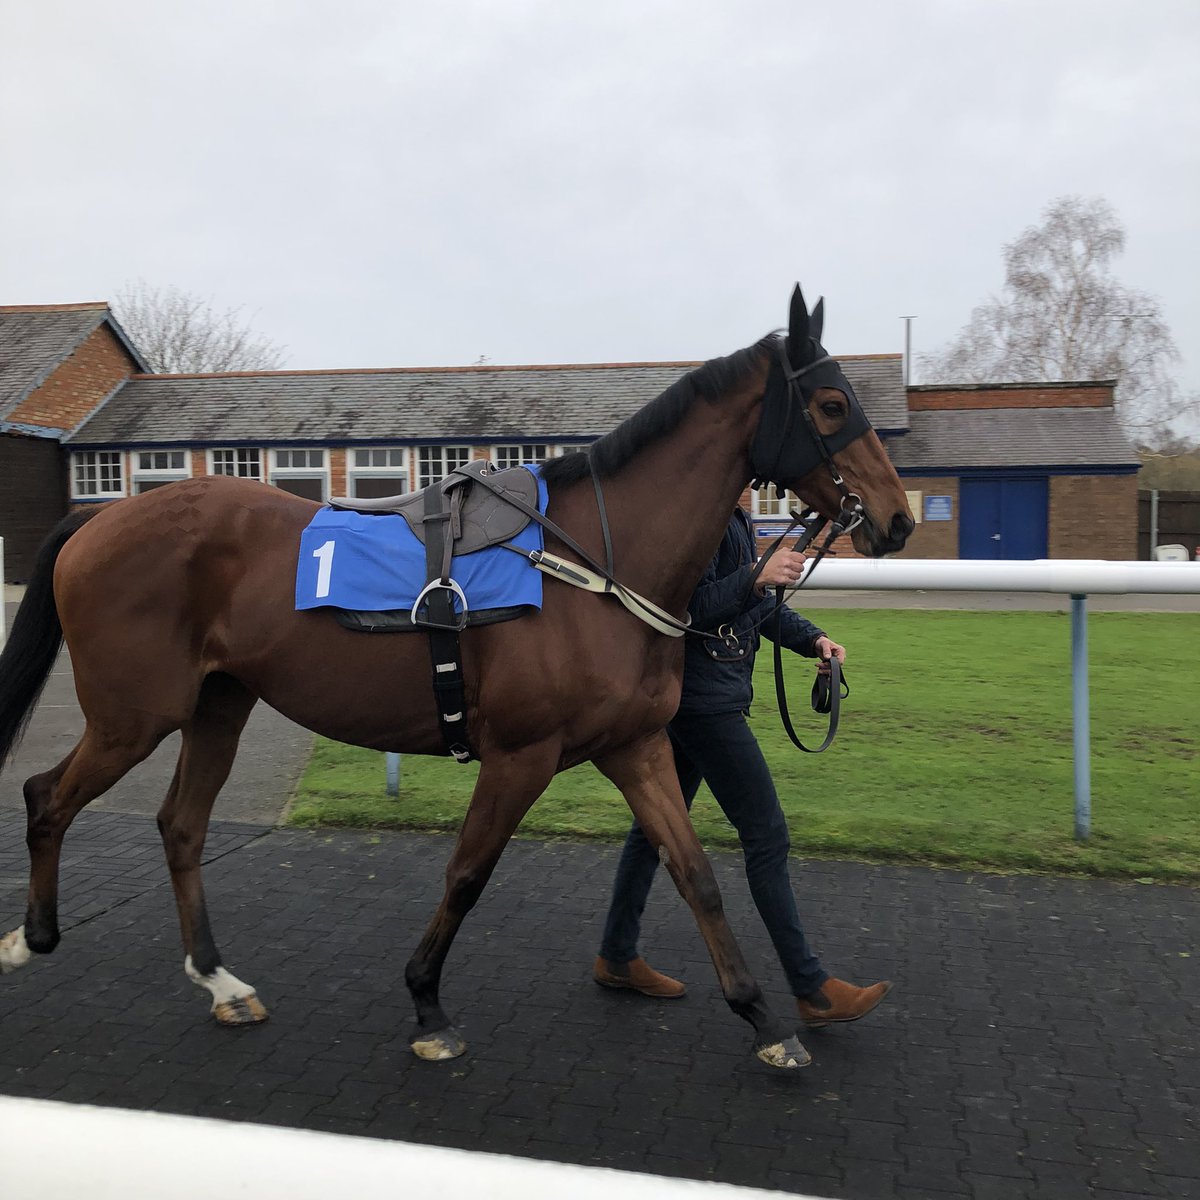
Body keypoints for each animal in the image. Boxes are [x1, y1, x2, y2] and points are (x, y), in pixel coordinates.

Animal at [0, 286, 913, 1071]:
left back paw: (221, 982)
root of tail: (98, 519)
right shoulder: (521, 754)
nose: (897, 518)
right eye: (831, 406)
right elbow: (468, 873)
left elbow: (695, 874)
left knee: (181, 826)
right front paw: (427, 1004)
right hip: (133, 715)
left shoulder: (636, 745)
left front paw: (764, 1018)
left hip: (218, 704)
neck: (591, 563)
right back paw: (30, 937)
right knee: (47, 797)